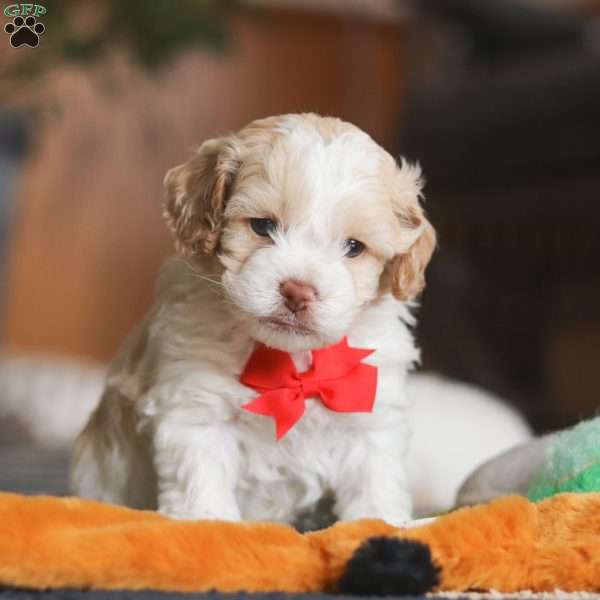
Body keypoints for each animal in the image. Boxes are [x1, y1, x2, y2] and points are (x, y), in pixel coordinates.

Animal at [70, 113, 436, 524]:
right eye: (262, 226)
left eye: (354, 247)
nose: (297, 291)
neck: (289, 361)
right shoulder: (196, 408)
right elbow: (201, 479)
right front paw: (209, 521)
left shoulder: (368, 411)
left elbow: (374, 478)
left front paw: (381, 520)